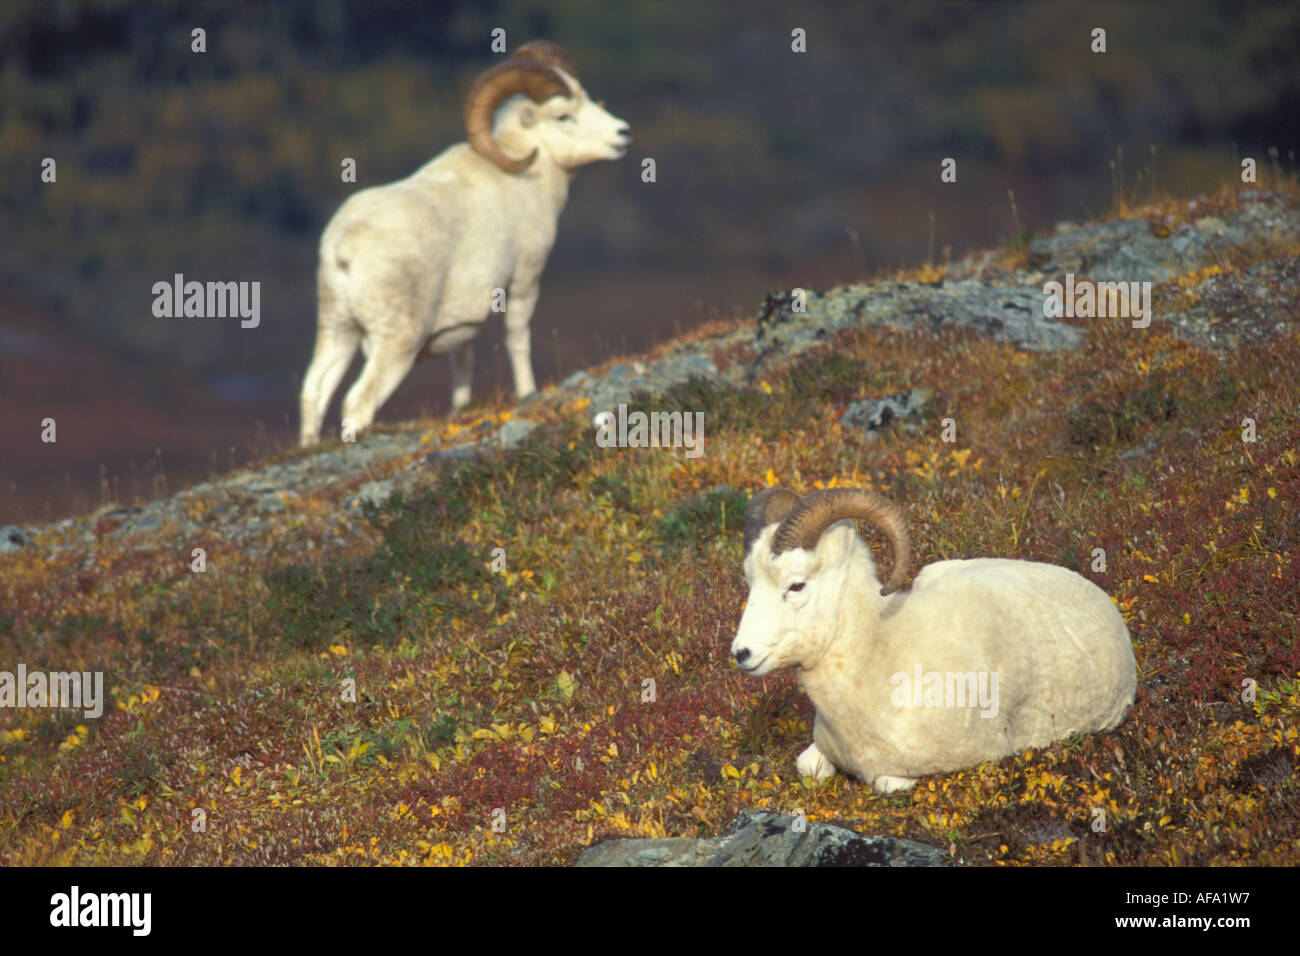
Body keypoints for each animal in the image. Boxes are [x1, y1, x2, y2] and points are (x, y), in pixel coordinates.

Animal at [299, 41, 631, 446]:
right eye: (564, 116)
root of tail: (345, 248)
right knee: (357, 402)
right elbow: (518, 339)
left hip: (338, 330)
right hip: (395, 344)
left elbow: (463, 364)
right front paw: (527, 392)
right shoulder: (524, 281)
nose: (622, 133)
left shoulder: (462, 326)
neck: (529, 179)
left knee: (313, 393)